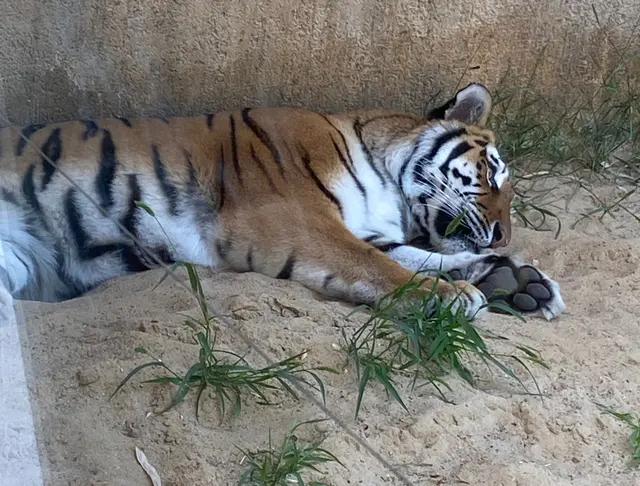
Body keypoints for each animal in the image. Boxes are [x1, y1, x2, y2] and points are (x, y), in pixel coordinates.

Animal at [0, 83, 565, 322]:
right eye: (491, 173)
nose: (503, 236)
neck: (388, 185)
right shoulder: (297, 219)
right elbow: (380, 266)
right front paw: (449, 295)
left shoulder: (367, 229)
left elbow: (418, 256)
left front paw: (514, 280)